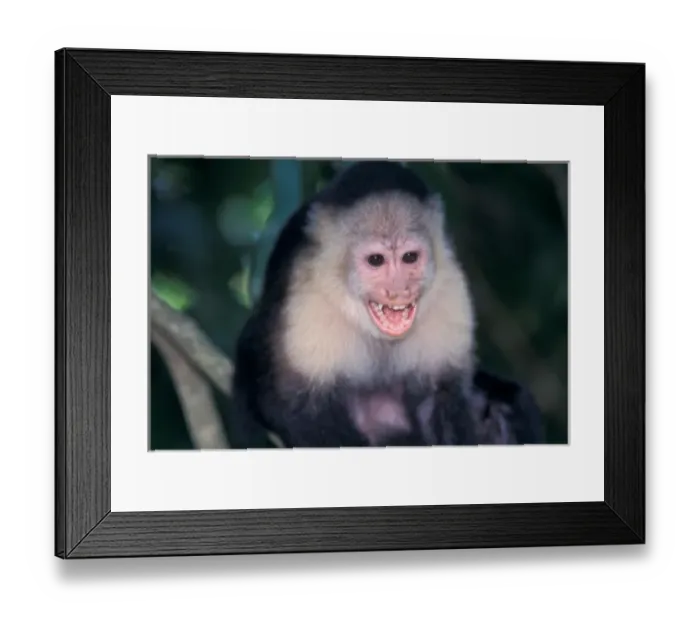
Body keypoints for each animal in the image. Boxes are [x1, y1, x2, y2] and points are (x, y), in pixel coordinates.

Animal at [223, 161, 544, 449]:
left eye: (410, 257)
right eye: (376, 260)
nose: (399, 290)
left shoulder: (451, 287)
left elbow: (442, 398)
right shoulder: (308, 299)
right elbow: (297, 408)